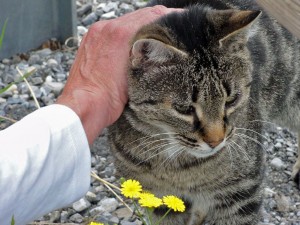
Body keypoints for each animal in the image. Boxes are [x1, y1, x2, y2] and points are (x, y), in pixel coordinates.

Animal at [108, 0, 300, 224]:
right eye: (184, 108)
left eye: (231, 100)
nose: (216, 141)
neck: (176, 166)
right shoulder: (157, 198)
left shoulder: (242, 192)